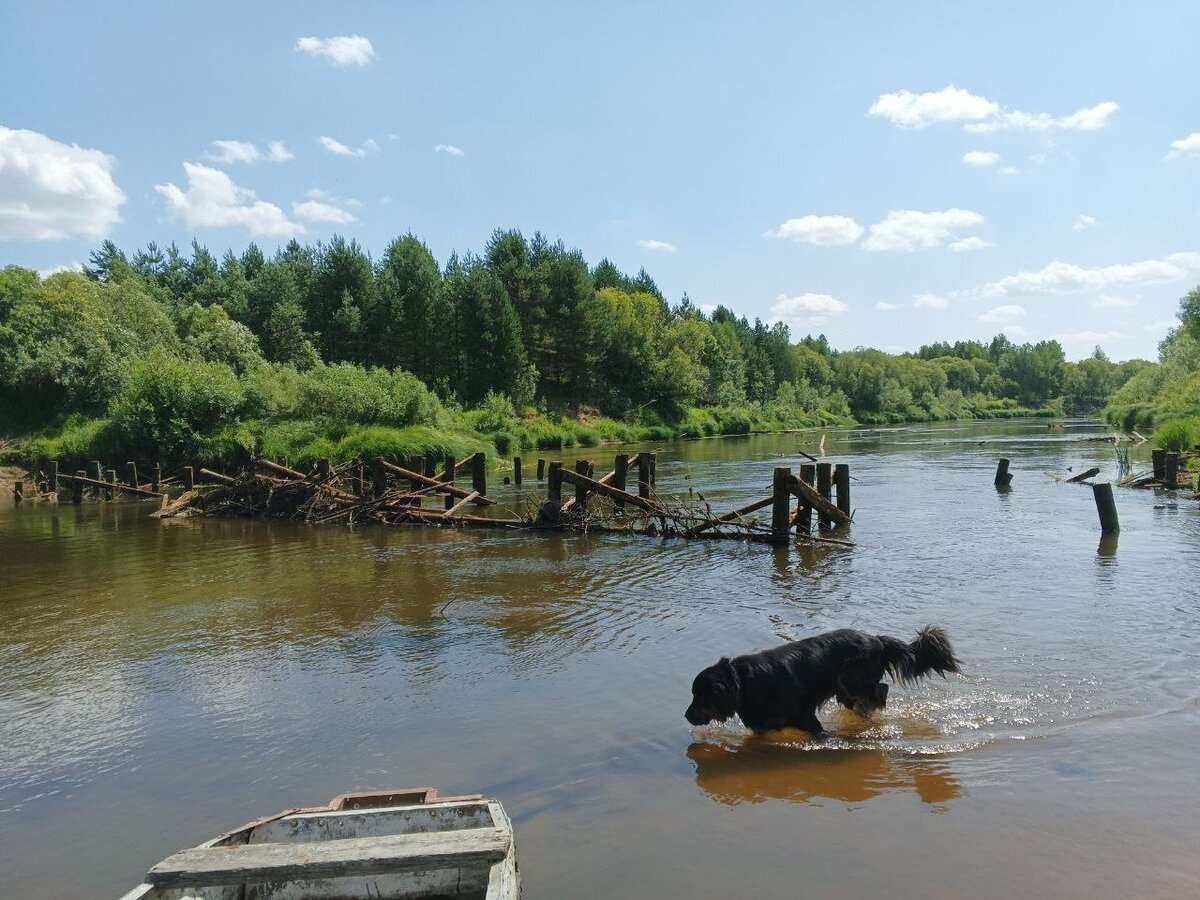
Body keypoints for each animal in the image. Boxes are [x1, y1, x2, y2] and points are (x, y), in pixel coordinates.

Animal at [691, 628, 960, 734]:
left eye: (701, 696)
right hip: (845, 689)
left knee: (879, 690)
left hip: (851, 678)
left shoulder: (805, 715)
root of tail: (878, 640)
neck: (743, 682)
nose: (686, 715)